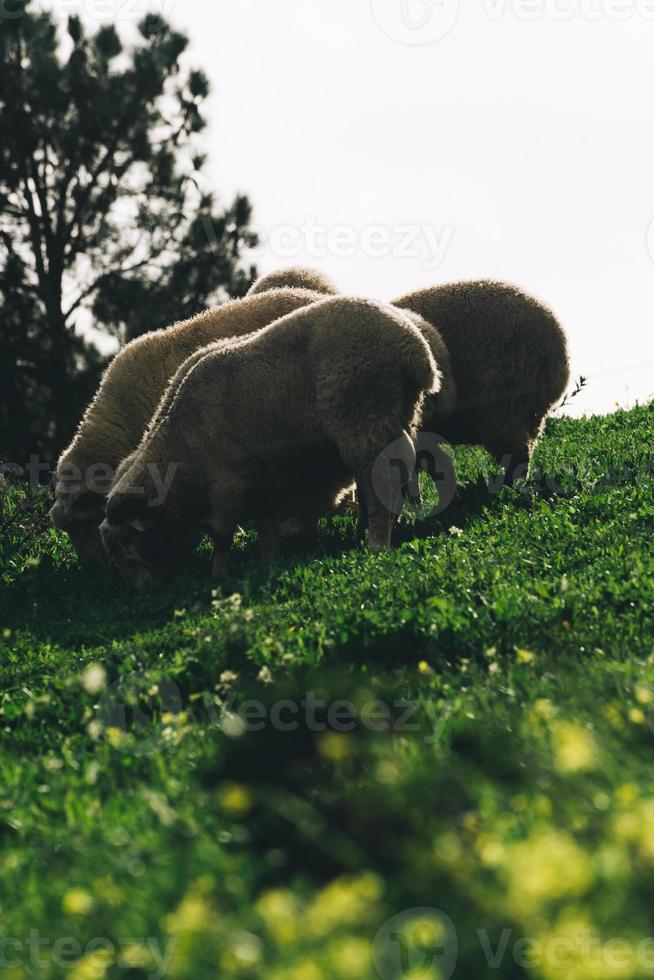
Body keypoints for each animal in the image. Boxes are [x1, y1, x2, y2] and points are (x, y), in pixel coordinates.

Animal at [101, 294, 440, 588]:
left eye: (128, 542)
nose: (140, 589)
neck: (182, 444)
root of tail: (414, 348)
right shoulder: (266, 482)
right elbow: (266, 527)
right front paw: (268, 563)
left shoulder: (229, 481)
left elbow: (223, 533)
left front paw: (218, 574)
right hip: (398, 416)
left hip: (361, 421)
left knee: (380, 482)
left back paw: (377, 543)